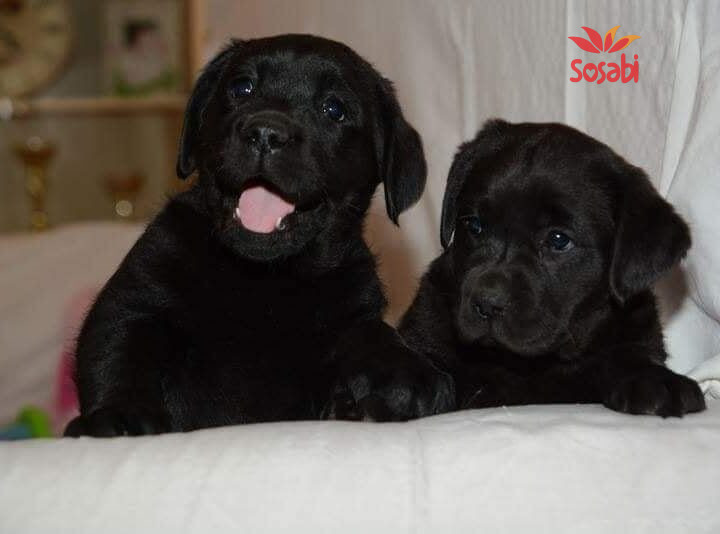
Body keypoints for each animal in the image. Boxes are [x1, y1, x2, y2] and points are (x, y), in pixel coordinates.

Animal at [64, 34, 453, 437]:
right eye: (241, 88)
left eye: (334, 109)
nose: (265, 132)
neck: (268, 275)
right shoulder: (135, 297)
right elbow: (118, 353)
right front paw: (119, 415)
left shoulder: (354, 311)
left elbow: (373, 335)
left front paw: (406, 377)